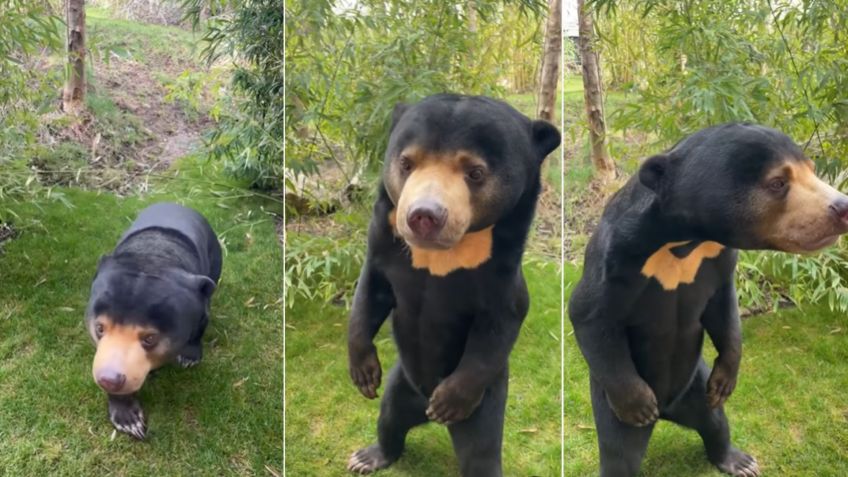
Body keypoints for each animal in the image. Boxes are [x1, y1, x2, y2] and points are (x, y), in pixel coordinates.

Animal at [85, 202, 222, 439]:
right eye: (100, 328)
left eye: (150, 338)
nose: (108, 379)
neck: (152, 257)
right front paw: (128, 419)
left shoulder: (200, 299)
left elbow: (199, 326)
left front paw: (189, 356)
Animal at [346, 94, 561, 476]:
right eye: (406, 163)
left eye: (475, 172)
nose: (423, 216)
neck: (442, 256)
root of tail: (422, 411)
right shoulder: (384, 248)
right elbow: (369, 294)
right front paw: (364, 374)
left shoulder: (501, 278)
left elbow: (498, 328)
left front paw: (448, 400)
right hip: (399, 384)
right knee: (389, 418)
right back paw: (369, 456)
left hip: (485, 402)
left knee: (481, 454)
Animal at [568, 123, 848, 477]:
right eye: (778, 182)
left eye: (811, 170)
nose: (843, 207)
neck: (686, 240)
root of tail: (669, 411)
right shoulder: (615, 256)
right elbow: (588, 313)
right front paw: (639, 403)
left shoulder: (719, 259)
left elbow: (723, 310)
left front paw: (726, 379)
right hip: (609, 407)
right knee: (620, 454)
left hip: (696, 385)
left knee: (715, 421)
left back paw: (739, 460)